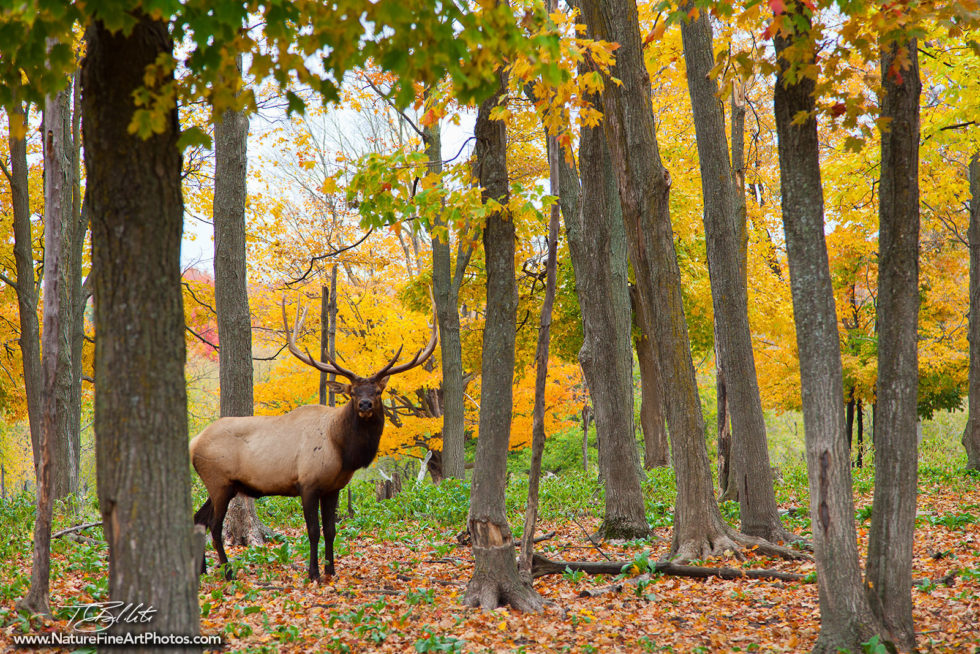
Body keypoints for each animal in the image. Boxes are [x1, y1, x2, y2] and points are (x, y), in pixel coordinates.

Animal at [191, 300, 436, 580]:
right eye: (352, 392)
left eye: (377, 391)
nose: (364, 404)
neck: (342, 450)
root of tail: (193, 443)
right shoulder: (307, 483)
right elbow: (313, 530)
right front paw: (314, 573)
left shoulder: (333, 487)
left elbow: (331, 530)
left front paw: (331, 571)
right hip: (219, 481)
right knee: (214, 524)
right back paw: (228, 571)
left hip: (223, 485)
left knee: (199, 518)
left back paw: (203, 570)